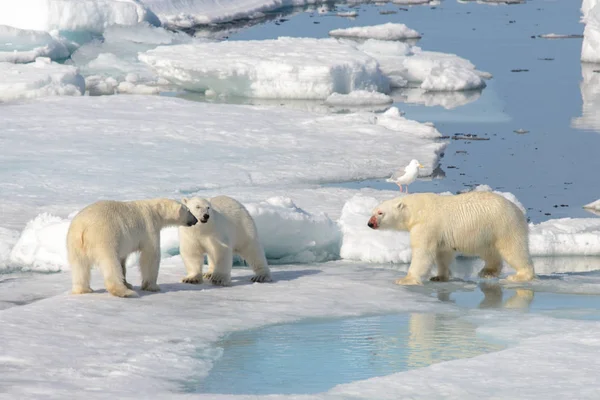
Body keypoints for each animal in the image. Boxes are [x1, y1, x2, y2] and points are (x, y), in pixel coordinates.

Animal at [66, 199, 198, 296]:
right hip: (104, 237)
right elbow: (150, 256)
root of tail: (83, 228)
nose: (196, 220)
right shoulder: (149, 228)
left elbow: (123, 261)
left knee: (79, 266)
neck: (155, 211)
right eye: (189, 210)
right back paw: (125, 292)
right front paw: (152, 286)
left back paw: (83, 289)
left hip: (74, 243)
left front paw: (128, 283)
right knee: (110, 262)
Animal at [368, 191, 536, 284]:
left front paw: (405, 279)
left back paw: (520, 276)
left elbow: (423, 252)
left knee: (513, 249)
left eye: (380, 213)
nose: (370, 223)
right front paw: (439, 276)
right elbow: (442, 253)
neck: (418, 210)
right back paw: (487, 271)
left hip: (503, 225)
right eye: (373, 211)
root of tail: (517, 209)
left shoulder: (426, 225)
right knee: (489, 251)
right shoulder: (440, 234)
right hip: (487, 233)